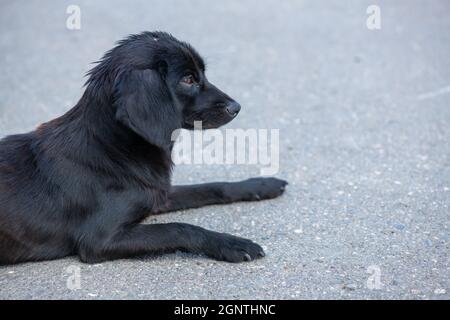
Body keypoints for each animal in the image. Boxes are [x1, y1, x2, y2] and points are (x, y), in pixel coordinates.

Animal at [0, 31, 286, 264]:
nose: (236, 107)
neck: (111, 149)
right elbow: (180, 228)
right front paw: (231, 243)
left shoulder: (157, 194)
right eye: (188, 79)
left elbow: (214, 187)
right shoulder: (100, 241)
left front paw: (260, 185)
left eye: (201, 74)